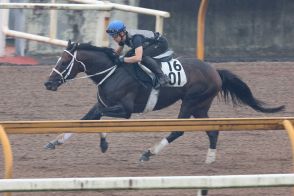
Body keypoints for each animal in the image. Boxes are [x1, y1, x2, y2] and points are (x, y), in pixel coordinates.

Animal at [44, 40, 284, 164]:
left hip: (190, 102)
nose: (48, 83)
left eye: (63, 62)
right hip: (200, 107)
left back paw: (149, 153)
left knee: (178, 130)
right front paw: (55, 142)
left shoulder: (125, 111)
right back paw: (210, 159)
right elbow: (86, 120)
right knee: (212, 130)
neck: (111, 73)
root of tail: (215, 70)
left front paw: (104, 144)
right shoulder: (101, 104)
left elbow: (101, 119)